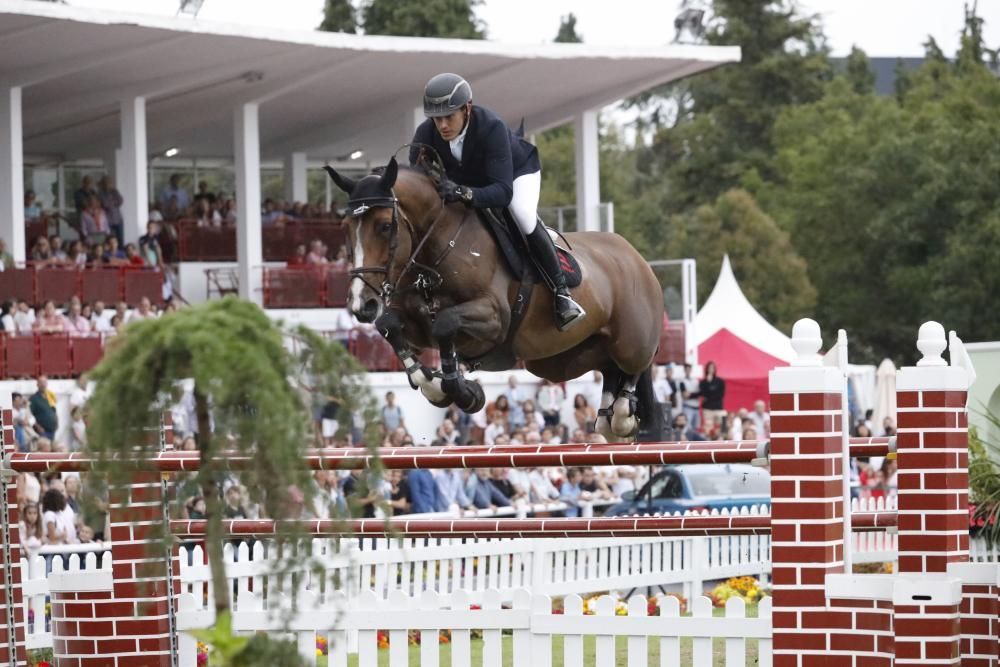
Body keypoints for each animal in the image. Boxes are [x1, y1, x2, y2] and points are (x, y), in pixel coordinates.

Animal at [324, 159, 664, 440]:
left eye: (384, 226)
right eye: (344, 227)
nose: (361, 305)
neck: (436, 251)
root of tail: (636, 258)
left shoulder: (494, 319)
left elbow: (445, 323)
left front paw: (461, 391)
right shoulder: (415, 324)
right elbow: (390, 325)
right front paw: (436, 385)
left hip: (629, 341)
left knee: (636, 364)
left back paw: (623, 415)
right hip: (560, 361)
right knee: (608, 367)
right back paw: (610, 416)